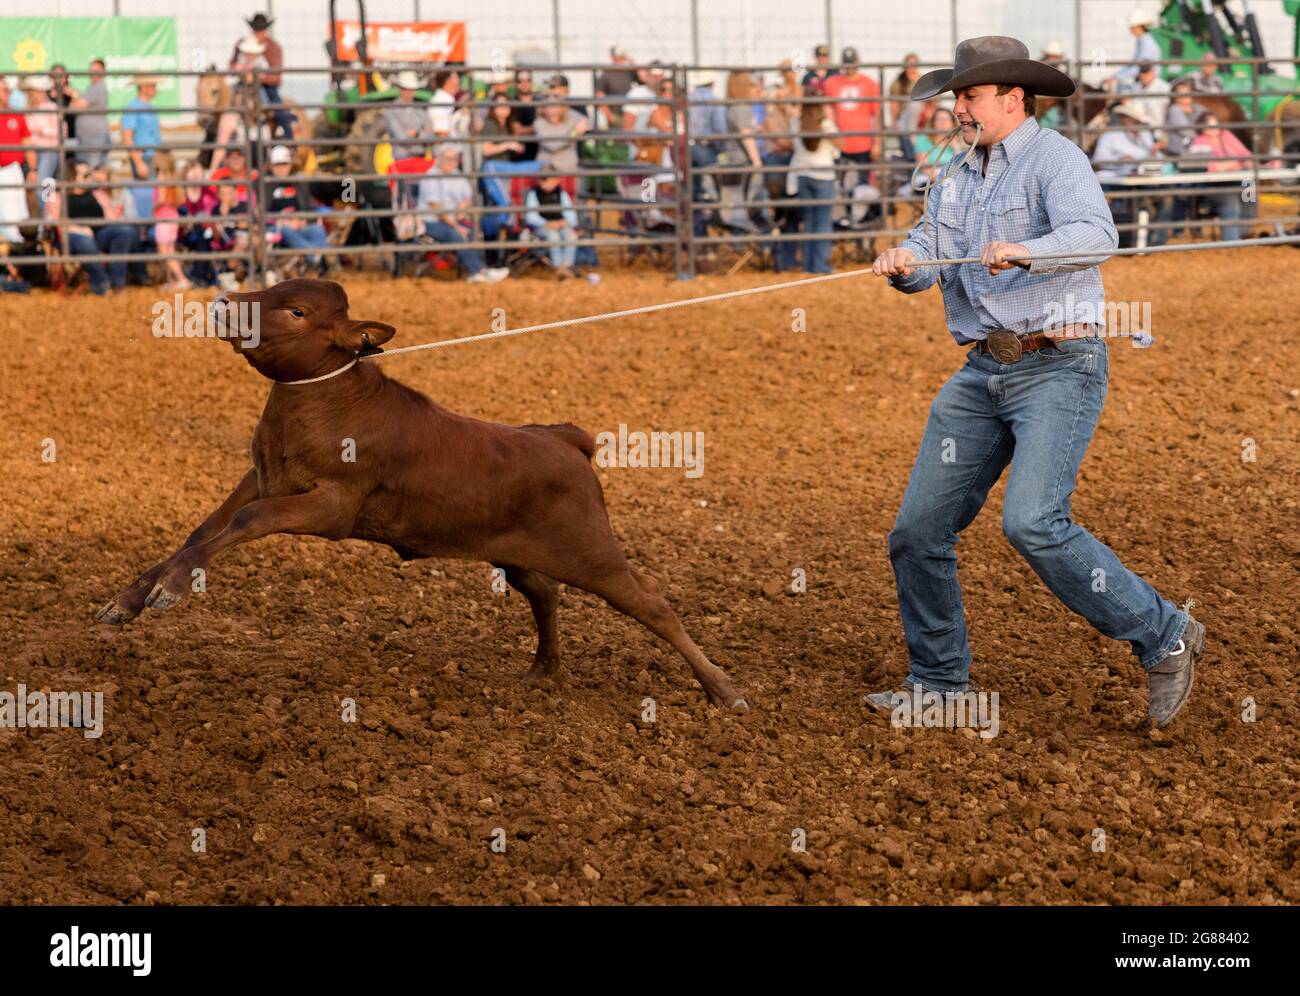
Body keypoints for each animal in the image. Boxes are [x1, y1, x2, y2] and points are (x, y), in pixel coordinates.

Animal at [96, 278, 748, 707]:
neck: (324, 403)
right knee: (544, 594)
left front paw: (170, 591)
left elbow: (245, 523)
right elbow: (204, 530)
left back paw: (722, 689)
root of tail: (564, 439)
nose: (224, 302)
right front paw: (129, 599)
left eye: (298, 309)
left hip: (592, 551)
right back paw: (544, 669)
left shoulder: (330, 506)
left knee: (651, 603)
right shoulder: (260, 477)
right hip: (516, 553)